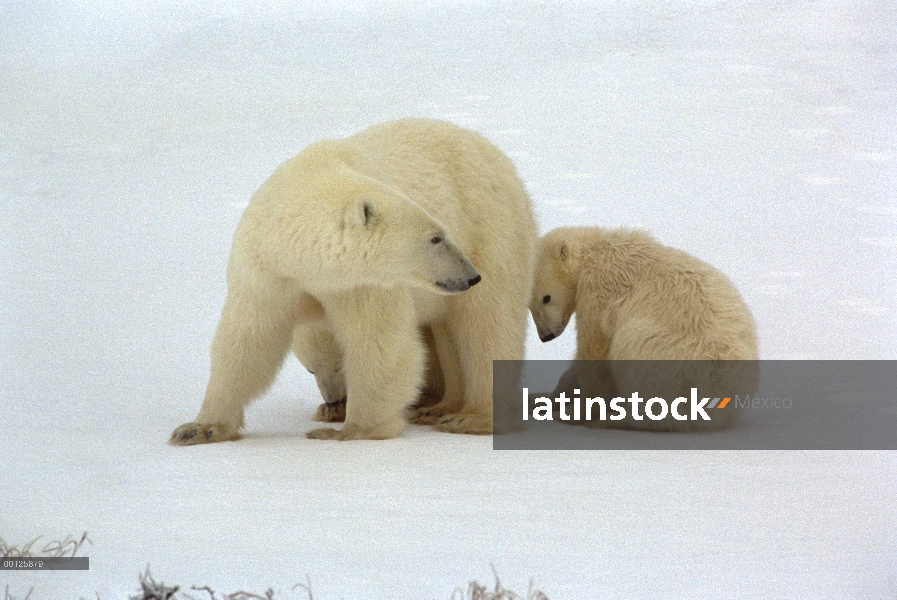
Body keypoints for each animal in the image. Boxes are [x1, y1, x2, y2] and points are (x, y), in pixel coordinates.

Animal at [169, 119, 536, 442]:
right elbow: (247, 341)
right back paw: (433, 406)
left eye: (439, 235)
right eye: (312, 371)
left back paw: (470, 417)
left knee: (485, 323)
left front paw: (348, 430)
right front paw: (199, 428)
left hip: (490, 226)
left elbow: (378, 340)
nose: (469, 275)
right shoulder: (267, 272)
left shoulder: (363, 281)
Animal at [528, 226, 760, 432]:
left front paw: (574, 413)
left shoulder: (599, 289)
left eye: (546, 298)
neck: (595, 250)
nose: (546, 336)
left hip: (666, 359)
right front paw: (539, 399)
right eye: (530, 306)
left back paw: (610, 420)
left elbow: (595, 353)